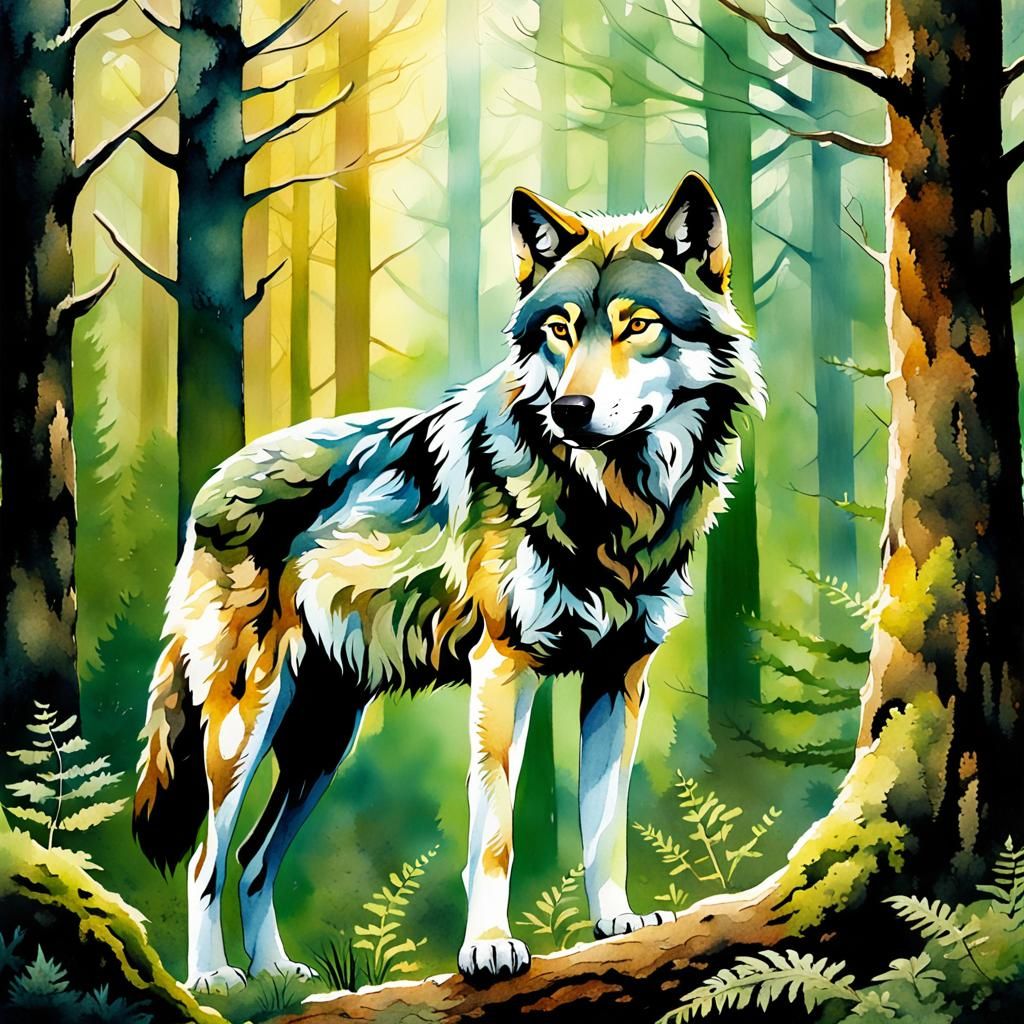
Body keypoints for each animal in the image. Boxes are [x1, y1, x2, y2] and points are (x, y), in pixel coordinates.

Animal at [132, 172, 765, 992]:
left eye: (639, 326)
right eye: (559, 330)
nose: (571, 410)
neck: (614, 507)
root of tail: (214, 481)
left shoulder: (619, 675)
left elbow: (605, 823)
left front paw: (617, 924)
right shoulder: (504, 666)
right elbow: (493, 832)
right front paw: (489, 947)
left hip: (321, 740)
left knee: (253, 856)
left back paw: (278, 976)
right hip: (247, 723)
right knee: (208, 857)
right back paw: (213, 980)